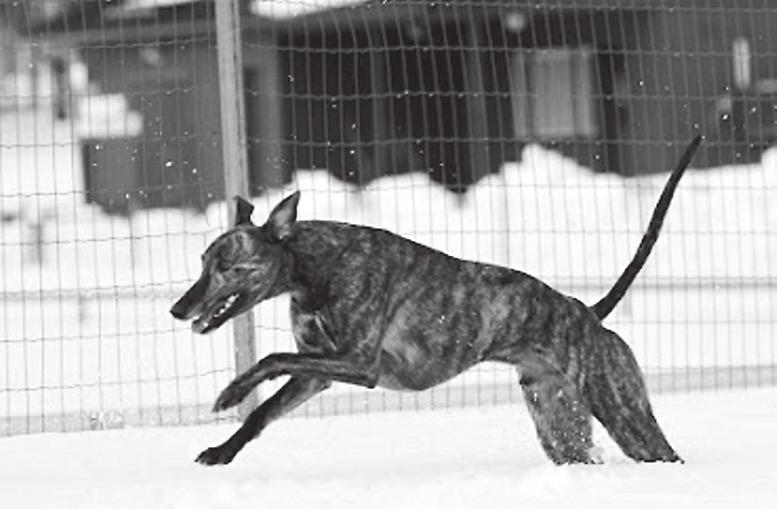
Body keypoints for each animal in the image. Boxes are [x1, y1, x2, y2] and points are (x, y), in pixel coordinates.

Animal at [171, 136, 704, 464]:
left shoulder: (359, 363)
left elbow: (271, 357)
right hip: (559, 426)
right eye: (201, 261)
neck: (316, 269)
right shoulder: (316, 370)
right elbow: (264, 410)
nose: (178, 309)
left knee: (666, 455)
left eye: (228, 267)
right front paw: (222, 450)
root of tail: (589, 314)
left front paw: (230, 392)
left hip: (625, 414)